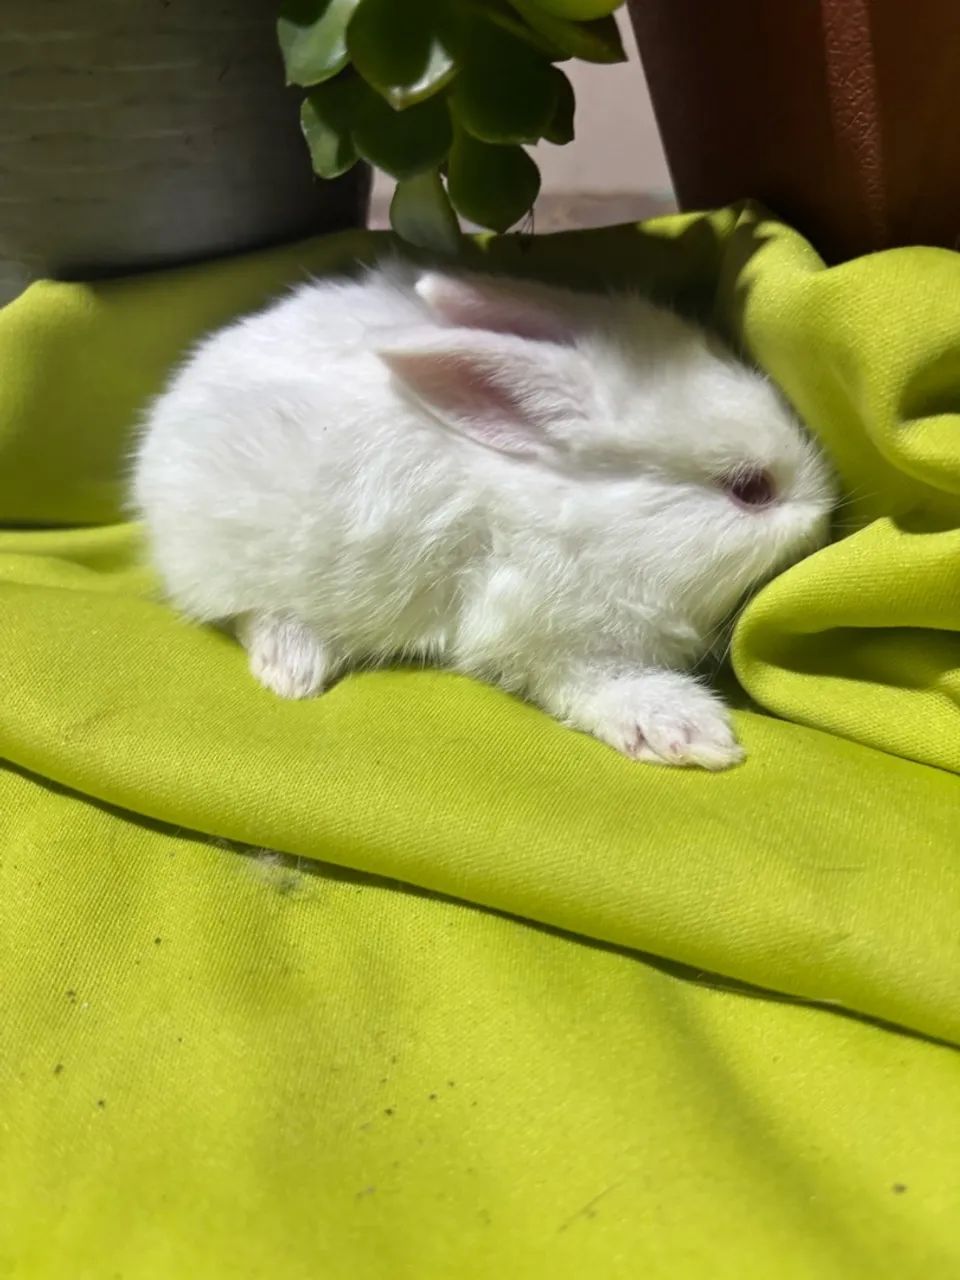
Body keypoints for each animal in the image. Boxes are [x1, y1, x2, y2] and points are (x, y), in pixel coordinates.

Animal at [132, 262, 834, 770]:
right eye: (750, 489)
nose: (825, 514)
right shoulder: (543, 633)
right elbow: (600, 683)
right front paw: (694, 734)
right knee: (252, 612)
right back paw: (292, 670)